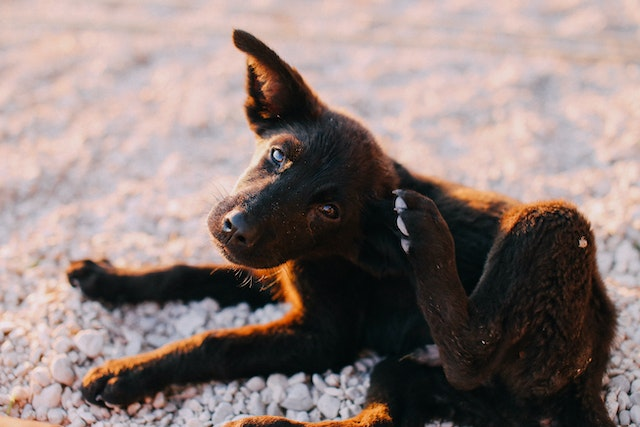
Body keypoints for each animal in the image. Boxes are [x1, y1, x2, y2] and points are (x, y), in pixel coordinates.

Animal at [67, 30, 616, 427]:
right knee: (384, 414)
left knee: (471, 353)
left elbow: (218, 343)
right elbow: (184, 272)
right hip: (412, 374)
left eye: (329, 210)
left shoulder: (324, 336)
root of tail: (591, 371)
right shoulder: (274, 274)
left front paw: (128, 372)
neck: (331, 251)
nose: (234, 228)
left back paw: (424, 236)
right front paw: (106, 279)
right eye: (278, 155)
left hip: (552, 224)